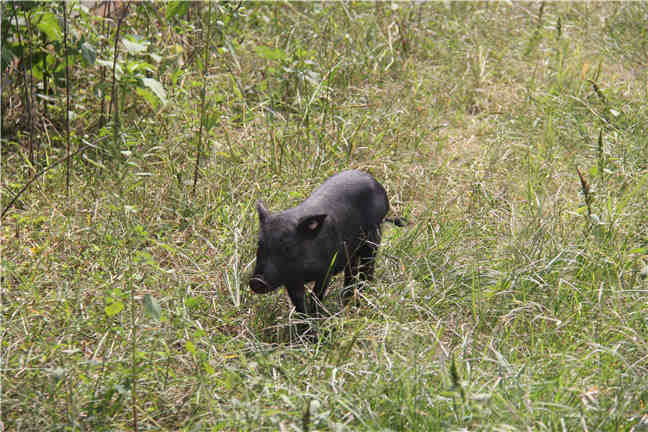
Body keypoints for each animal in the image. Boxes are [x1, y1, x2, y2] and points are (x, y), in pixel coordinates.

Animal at [249, 170, 404, 316]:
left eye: (287, 247)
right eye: (260, 244)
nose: (256, 281)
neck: (303, 272)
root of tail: (377, 184)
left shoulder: (327, 269)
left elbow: (316, 296)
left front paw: (316, 318)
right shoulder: (291, 280)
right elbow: (299, 304)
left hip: (374, 236)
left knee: (367, 268)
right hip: (351, 251)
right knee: (351, 272)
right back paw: (346, 301)